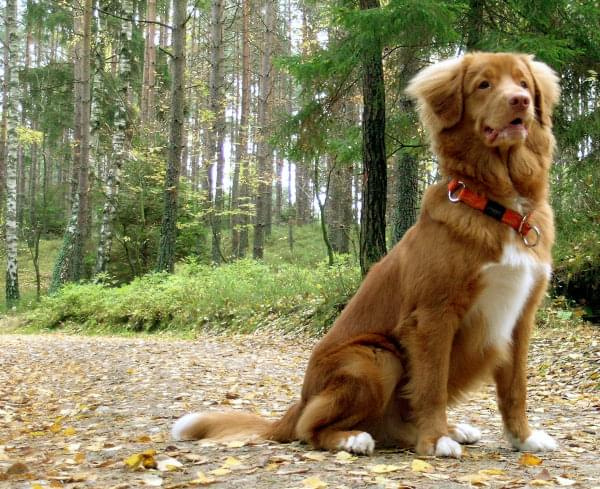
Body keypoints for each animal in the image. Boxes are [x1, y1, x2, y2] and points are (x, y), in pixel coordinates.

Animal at [171, 51, 560, 456]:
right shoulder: (433, 315)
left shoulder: (520, 318)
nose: (520, 101)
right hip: (376, 357)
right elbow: (431, 386)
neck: (500, 206)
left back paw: (452, 429)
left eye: (523, 83)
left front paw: (523, 437)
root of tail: (300, 401)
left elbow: (515, 389)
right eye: (484, 84)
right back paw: (354, 438)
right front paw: (435, 440)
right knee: (310, 426)